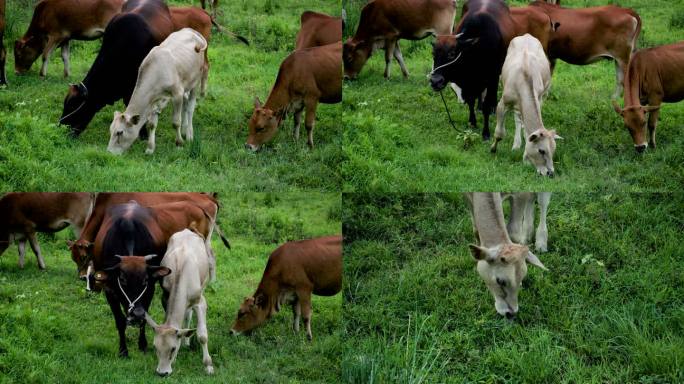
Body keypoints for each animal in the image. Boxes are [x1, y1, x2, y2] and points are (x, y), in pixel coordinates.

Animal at [107, 27, 207, 155]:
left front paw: (179, 143)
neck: (156, 71)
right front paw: (150, 148)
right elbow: (151, 124)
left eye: (120, 132)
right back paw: (185, 131)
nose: (109, 152)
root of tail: (191, 30)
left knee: (190, 108)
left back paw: (189, 135)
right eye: (111, 130)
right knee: (186, 103)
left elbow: (176, 122)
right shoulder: (155, 99)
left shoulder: (177, 94)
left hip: (195, 81)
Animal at [146, 230, 214, 376]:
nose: (162, 373)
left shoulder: (200, 301)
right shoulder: (165, 296)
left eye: (172, 348)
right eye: (155, 347)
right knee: (187, 314)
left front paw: (208, 365)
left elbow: (202, 335)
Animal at [430, 0, 516, 141]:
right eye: (433, 53)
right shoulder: (469, 84)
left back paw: (493, 107)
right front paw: (472, 122)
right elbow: (471, 101)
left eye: (452, 54)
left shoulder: (491, 76)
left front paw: (486, 132)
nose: (435, 81)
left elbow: (486, 104)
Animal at [488, 33, 564, 176]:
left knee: (520, 120)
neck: (523, 78)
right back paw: (516, 144)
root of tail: (526, 35)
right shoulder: (502, 104)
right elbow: (499, 133)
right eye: (541, 151)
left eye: (553, 151)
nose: (550, 173)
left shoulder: (539, 99)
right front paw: (493, 149)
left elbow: (527, 132)